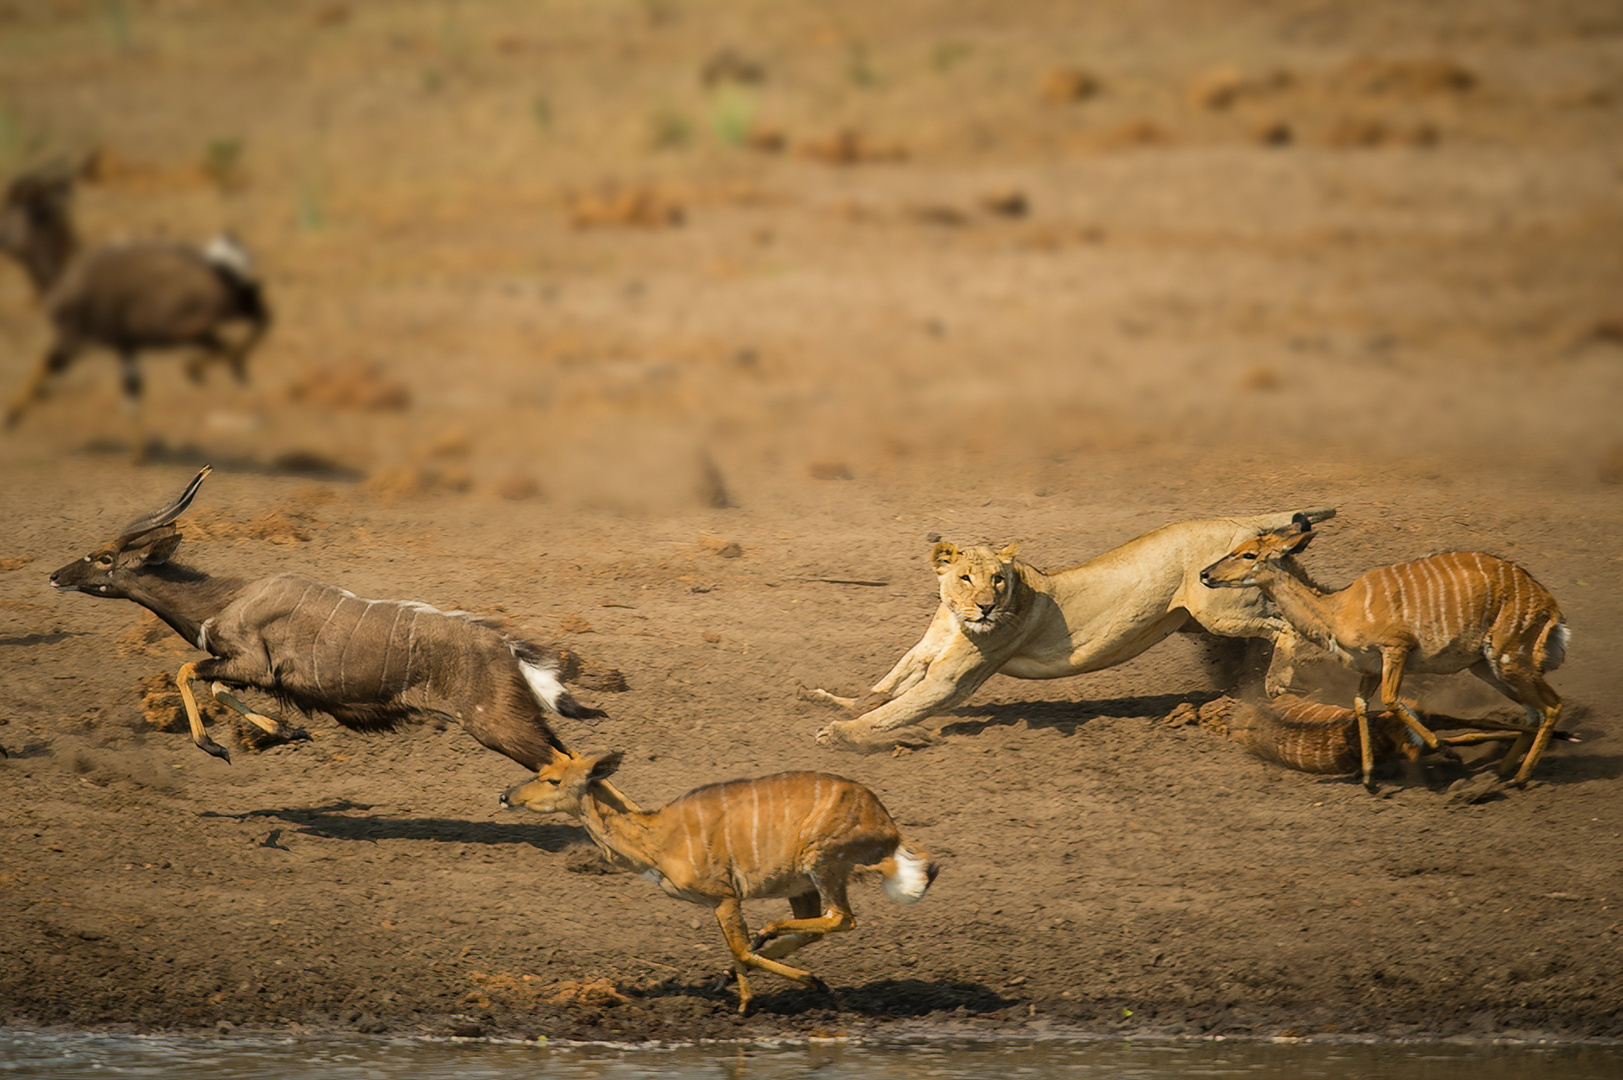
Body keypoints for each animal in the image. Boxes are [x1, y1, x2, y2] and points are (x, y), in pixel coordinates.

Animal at [52, 467, 610, 769]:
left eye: (104, 558)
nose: (56, 575)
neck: (224, 600)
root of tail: (506, 648)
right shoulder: (243, 670)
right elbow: (214, 684)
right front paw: (288, 733)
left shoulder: (253, 664)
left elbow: (188, 671)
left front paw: (215, 747)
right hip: (520, 721)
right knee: (580, 762)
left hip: (496, 726)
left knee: (566, 765)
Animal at [496, 750, 941, 1013]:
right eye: (540, 771)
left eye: (552, 780)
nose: (505, 795)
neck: (658, 835)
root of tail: (888, 828)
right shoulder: (718, 902)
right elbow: (736, 949)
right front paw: (742, 1001)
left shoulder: (725, 895)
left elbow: (741, 948)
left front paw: (811, 983)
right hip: (803, 885)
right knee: (815, 927)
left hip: (822, 861)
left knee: (840, 919)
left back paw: (774, 940)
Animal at [1201, 513, 1564, 792]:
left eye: (1248, 555)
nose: (1205, 574)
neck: (1337, 609)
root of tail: (1549, 605)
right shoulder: (1370, 668)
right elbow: (1360, 704)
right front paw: (1368, 778)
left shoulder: (1396, 648)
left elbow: (1390, 699)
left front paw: (1443, 748)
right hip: (1486, 665)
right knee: (1533, 711)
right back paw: (1502, 771)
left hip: (1510, 656)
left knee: (1551, 705)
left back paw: (1519, 777)